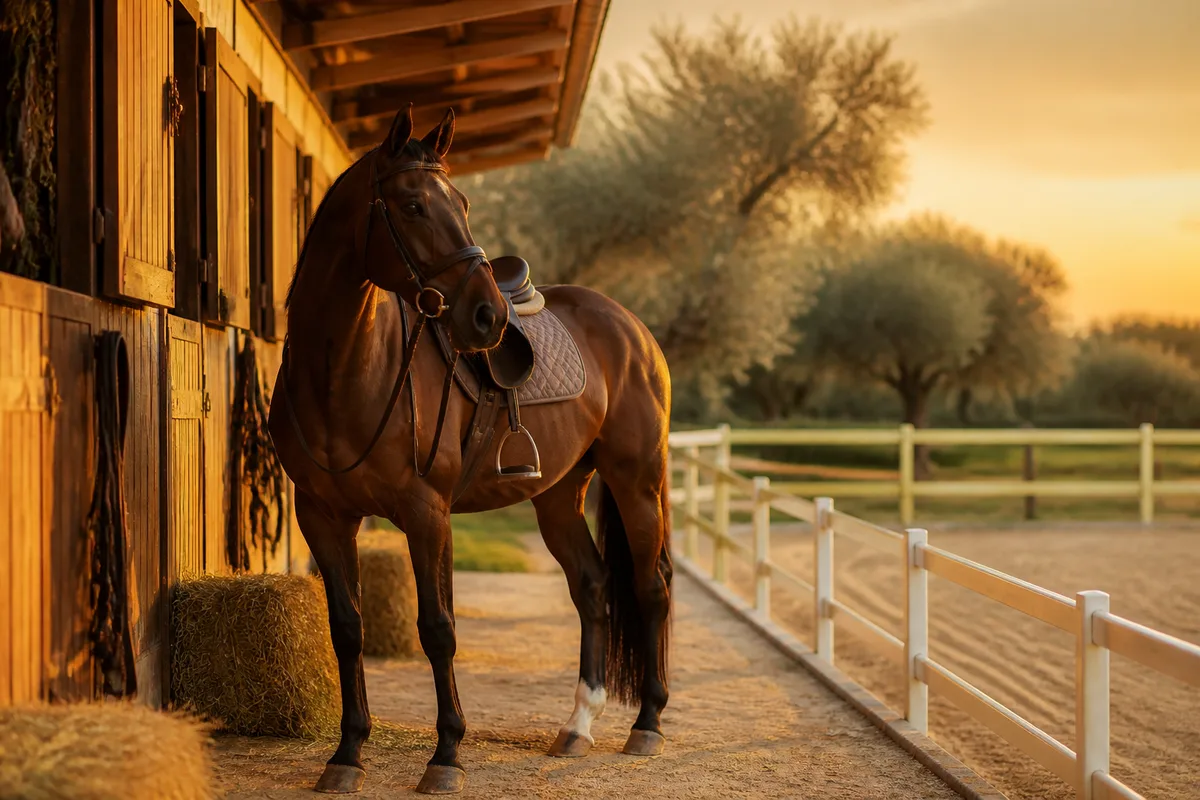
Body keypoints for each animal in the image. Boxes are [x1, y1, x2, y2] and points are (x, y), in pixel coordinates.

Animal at [267, 104, 674, 795]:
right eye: (411, 205)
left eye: (459, 201)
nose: (488, 317)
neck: (344, 372)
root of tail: (632, 329)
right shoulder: (321, 515)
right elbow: (347, 629)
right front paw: (347, 754)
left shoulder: (427, 514)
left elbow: (439, 629)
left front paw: (446, 755)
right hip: (558, 496)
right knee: (592, 585)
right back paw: (578, 726)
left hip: (636, 481)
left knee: (651, 588)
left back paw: (646, 723)